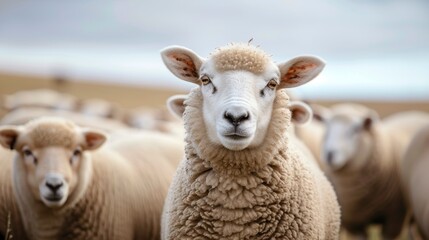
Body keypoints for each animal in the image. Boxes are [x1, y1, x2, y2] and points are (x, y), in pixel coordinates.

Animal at [310, 105, 428, 240]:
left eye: (355, 130)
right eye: (326, 126)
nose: (329, 154)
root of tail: (416, 114)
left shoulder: (394, 218)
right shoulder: (356, 223)